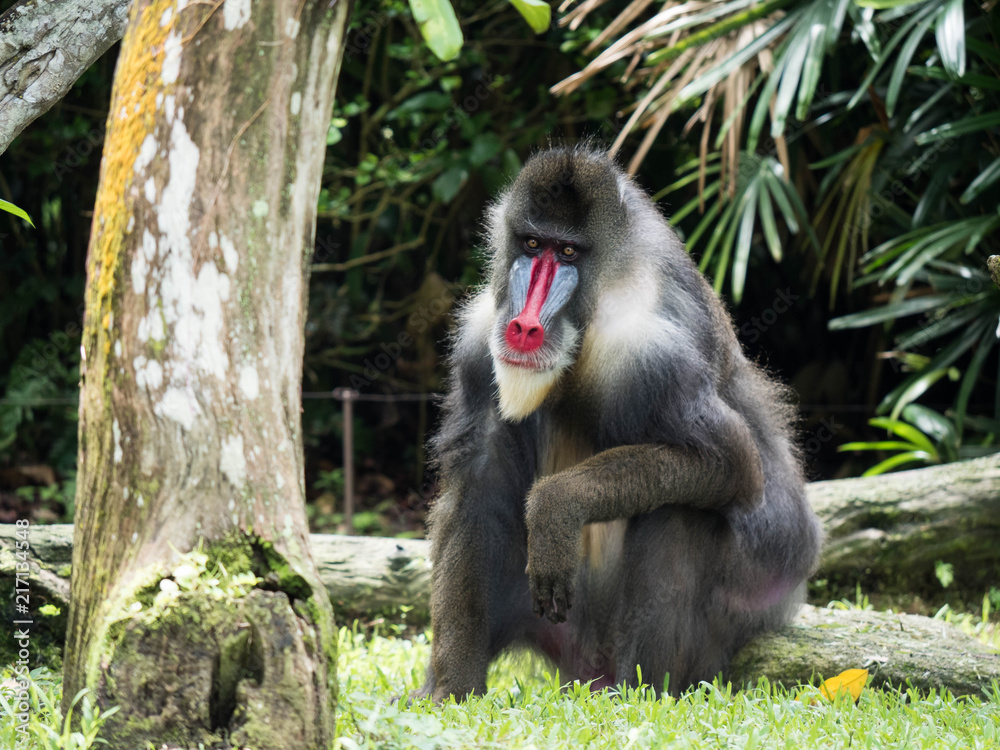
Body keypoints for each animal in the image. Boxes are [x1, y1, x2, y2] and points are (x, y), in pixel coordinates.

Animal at [415, 146, 822, 702]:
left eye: (568, 253)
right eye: (533, 244)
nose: (523, 326)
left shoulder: (651, 354)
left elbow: (732, 462)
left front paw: (555, 507)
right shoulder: (479, 345)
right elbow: (475, 479)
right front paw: (449, 695)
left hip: (752, 597)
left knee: (682, 511)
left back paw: (641, 695)